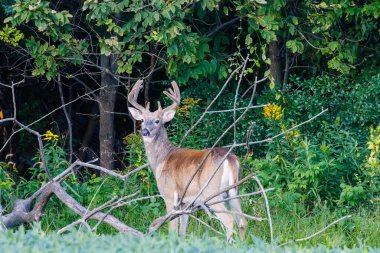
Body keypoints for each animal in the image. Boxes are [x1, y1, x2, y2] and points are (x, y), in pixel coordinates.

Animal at [127, 79, 246, 241]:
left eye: (157, 121)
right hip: (234, 192)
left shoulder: (169, 194)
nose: (145, 131)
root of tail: (229, 158)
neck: (161, 160)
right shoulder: (185, 202)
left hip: (212, 192)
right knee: (242, 221)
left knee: (229, 220)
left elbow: (172, 230)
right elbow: (183, 231)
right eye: (143, 120)